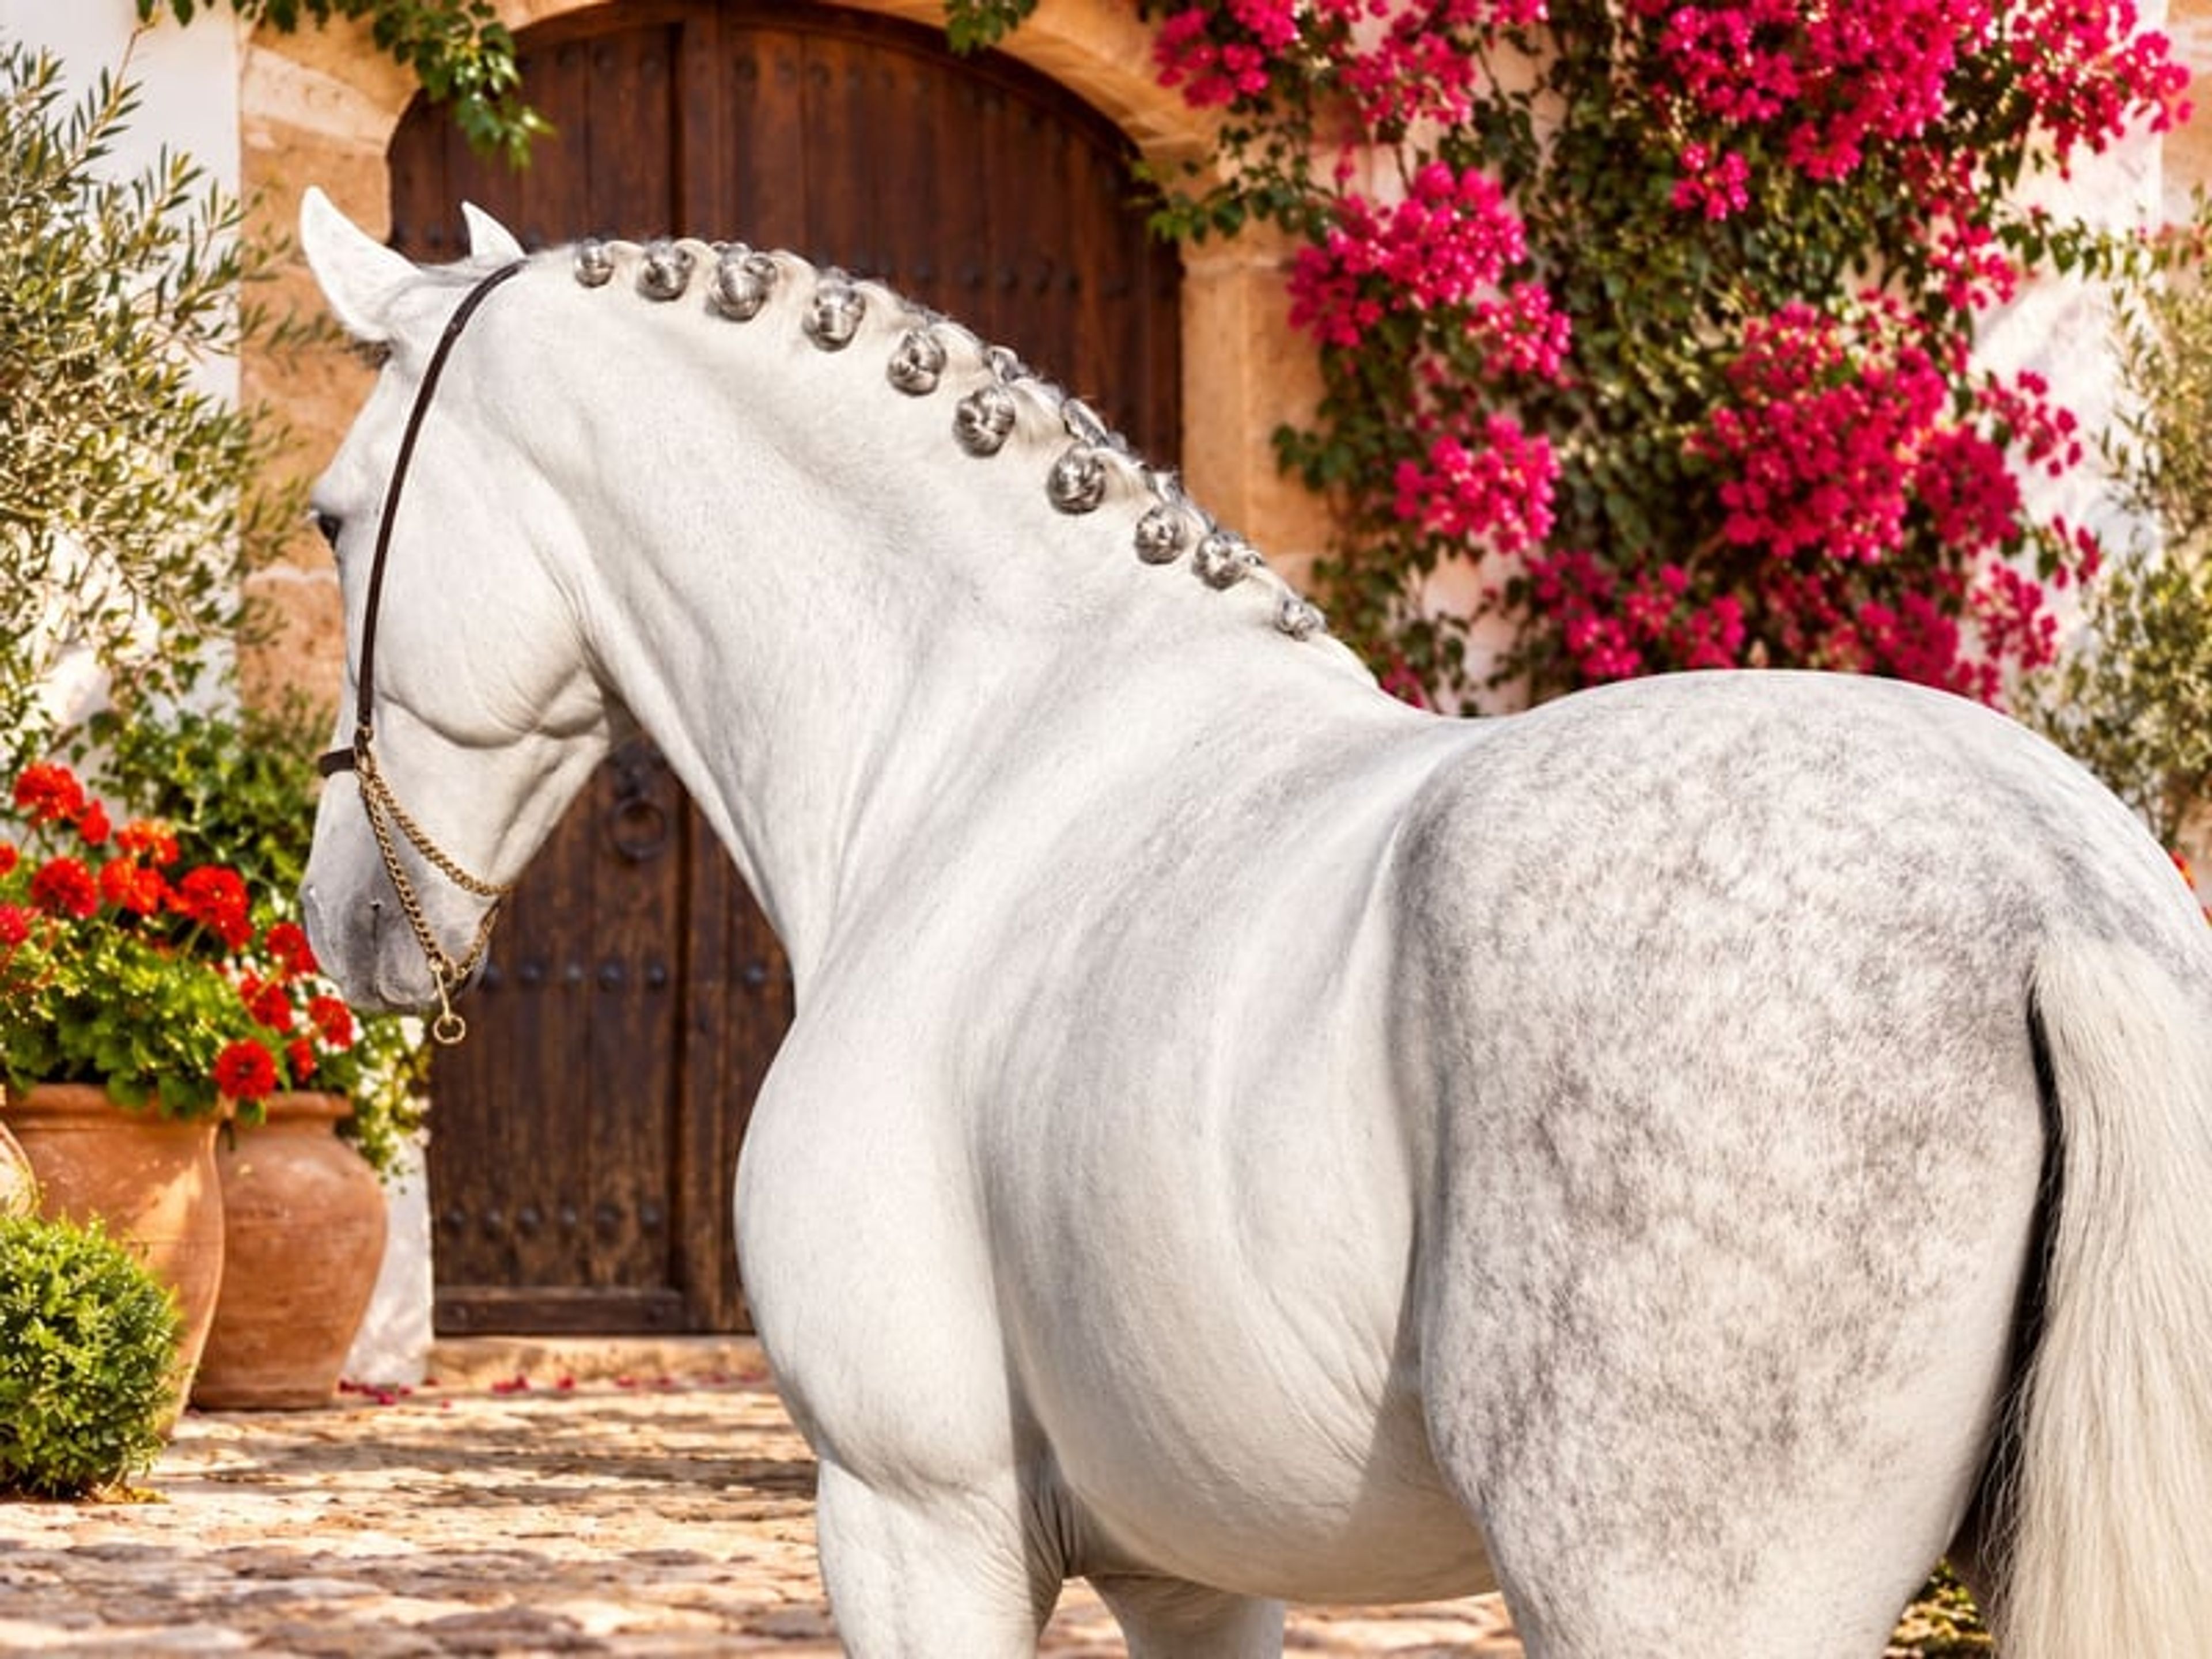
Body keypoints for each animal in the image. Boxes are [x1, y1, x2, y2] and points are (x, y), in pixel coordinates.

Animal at [295, 189, 2212, 1658]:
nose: (342, 922)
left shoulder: (918, 1521)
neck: (985, 746)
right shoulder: (1196, 1575)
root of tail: (2057, 902)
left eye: (330, 517)